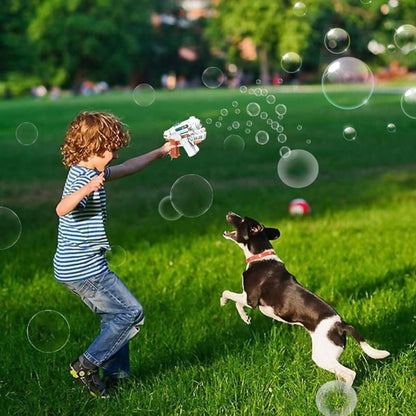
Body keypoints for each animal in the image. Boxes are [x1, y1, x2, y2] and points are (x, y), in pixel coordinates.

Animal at [221, 213, 390, 386]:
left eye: (242, 219)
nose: (229, 213)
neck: (260, 255)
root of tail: (341, 325)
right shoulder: (248, 298)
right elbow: (236, 301)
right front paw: (246, 318)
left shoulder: (250, 298)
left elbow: (229, 295)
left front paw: (227, 305)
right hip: (328, 356)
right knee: (341, 372)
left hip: (321, 356)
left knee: (350, 374)